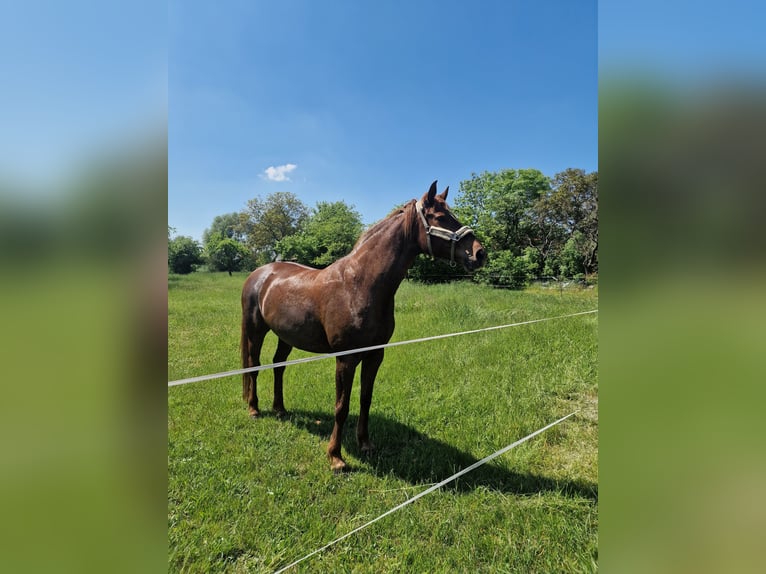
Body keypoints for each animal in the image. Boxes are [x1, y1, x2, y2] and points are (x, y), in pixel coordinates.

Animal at [241, 181, 486, 471]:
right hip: (255, 330)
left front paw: (365, 444)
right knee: (254, 366)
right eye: (440, 217)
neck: (360, 285)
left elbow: (365, 400)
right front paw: (336, 457)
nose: (479, 253)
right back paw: (254, 409)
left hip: (285, 336)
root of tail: (260, 273)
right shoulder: (346, 359)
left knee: (279, 366)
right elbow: (341, 406)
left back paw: (280, 408)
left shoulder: (375, 355)